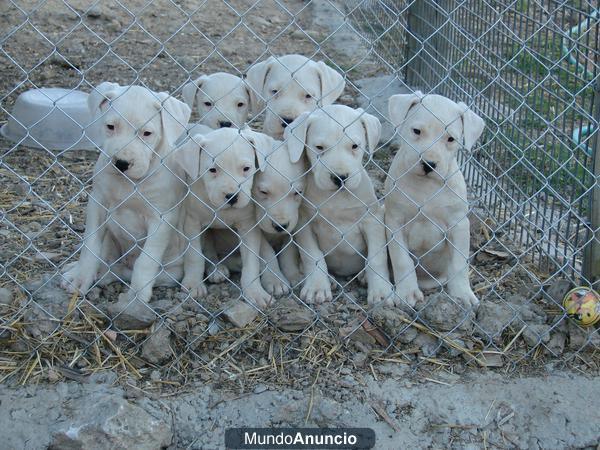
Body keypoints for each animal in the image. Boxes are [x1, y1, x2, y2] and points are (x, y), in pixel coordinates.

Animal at [59, 81, 191, 312]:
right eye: (110, 127)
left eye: (147, 133)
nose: (121, 163)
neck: (130, 184)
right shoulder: (98, 204)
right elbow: (90, 244)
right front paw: (81, 276)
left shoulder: (161, 220)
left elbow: (145, 261)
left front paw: (136, 298)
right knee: (108, 261)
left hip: (171, 272)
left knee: (125, 271)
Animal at [175, 126, 276, 310]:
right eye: (212, 170)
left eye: (246, 168)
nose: (232, 197)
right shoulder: (192, 222)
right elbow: (194, 256)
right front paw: (193, 284)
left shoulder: (248, 226)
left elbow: (251, 262)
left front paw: (255, 292)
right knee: (208, 250)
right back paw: (215, 270)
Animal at [286, 104, 394, 306]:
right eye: (319, 147)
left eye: (354, 146)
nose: (340, 178)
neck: (337, 198)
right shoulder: (304, 224)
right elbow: (312, 256)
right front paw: (317, 287)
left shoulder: (372, 221)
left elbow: (377, 257)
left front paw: (381, 291)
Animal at [384, 91, 488, 310]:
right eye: (416, 131)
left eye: (450, 139)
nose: (429, 164)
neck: (426, 187)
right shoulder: (395, 222)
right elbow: (401, 260)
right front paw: (407, 293)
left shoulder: (458, 225)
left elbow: (459, 263)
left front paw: (462, 294)